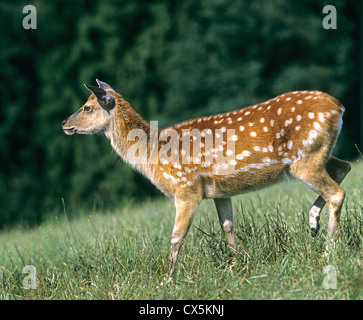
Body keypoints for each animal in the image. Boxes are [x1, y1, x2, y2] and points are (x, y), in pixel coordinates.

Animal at [62, 79, 352, 268]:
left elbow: (176, 238)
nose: (64, 123)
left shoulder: (186, 189)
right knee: (344, 166)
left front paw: (167, 280)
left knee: (337, 192)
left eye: (87, 106)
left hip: (305, 158)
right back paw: (313, 222)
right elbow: (228, 226)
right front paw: (237, 265)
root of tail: (339, 107)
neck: (153, 154)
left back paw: (327, 253)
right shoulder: (220, 192)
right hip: (314, 155)